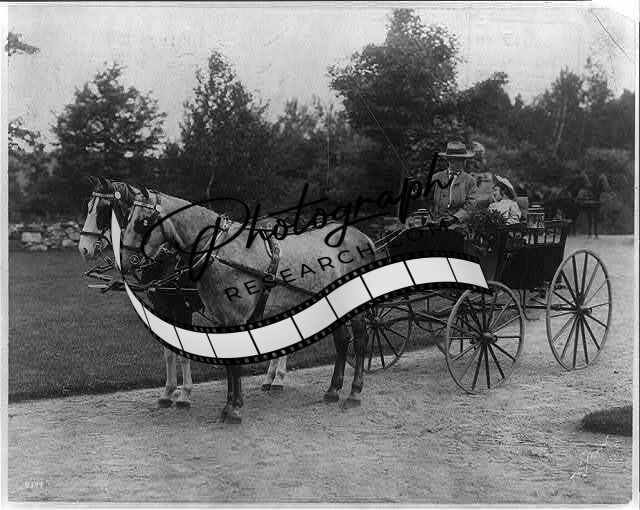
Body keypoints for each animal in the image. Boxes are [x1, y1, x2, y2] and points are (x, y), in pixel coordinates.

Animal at [119, 185, 374, 424]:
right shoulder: (220, 318)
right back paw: (332, 391)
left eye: (141, 223)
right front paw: (228, 405)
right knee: (342, 341)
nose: (125, 262)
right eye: (126, 218)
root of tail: (362, 237)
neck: (219, 252)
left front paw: (233, 408)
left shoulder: (231, 317)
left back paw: (354, 393)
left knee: (360, 340)